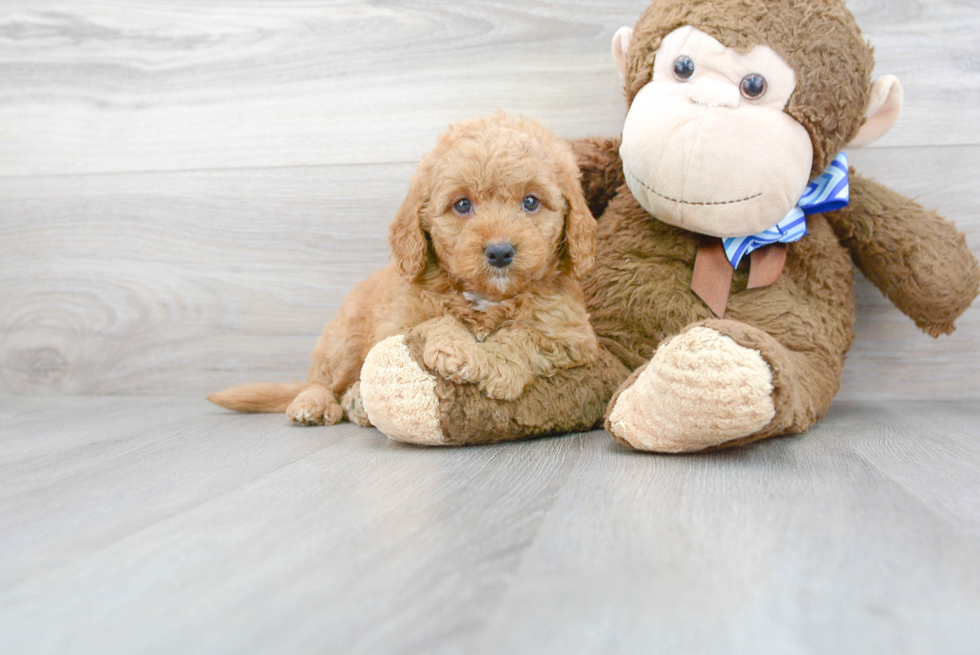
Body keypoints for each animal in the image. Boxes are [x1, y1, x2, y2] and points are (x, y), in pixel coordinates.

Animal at [209, 111, 596, 430]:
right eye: (462, 205)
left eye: (531, 202)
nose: (500, 252)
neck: (486, 296)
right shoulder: (396, 324)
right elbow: (434, 321)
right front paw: (459, 350)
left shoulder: (573, 337)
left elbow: (525, 336)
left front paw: (497, 367)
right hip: (344, 341)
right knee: (323, 380)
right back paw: (315, 403)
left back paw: (356, 403)